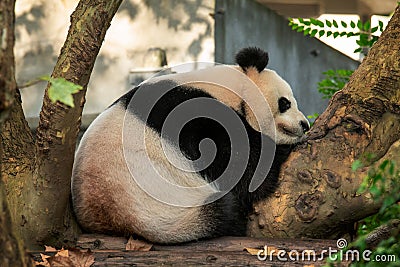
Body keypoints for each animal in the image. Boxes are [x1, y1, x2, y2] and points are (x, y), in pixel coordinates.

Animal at [72, 47, 310, 244]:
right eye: (285, 103)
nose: (305, 125)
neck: (229, 89)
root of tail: (112, 223)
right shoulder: (191, 113)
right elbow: (237, 162)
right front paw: (278, 153)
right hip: (166, 210)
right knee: (224, 211)